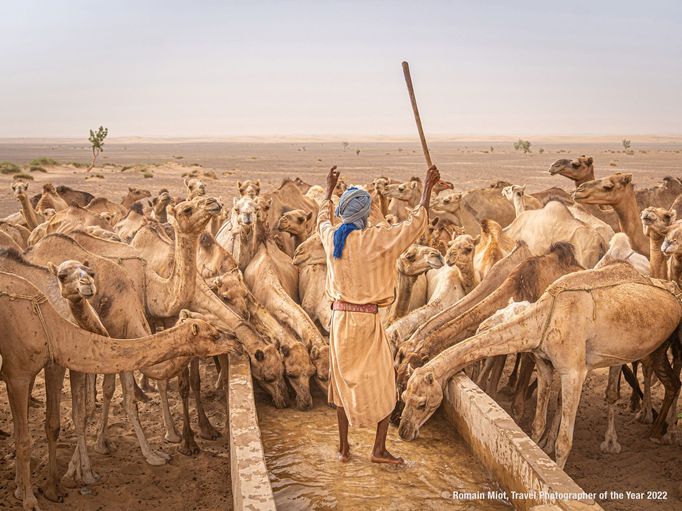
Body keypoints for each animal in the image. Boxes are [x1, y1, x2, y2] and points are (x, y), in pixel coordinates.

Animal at [0, 270, 235, 510]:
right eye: (214, 334)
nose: (234, 338)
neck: (50, 327)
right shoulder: (18, 374)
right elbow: (27, 437)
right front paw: (33, 498)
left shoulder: (46, 364)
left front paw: (24, 488)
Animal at [398, 264, 680, 468]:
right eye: (404, 396)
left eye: (421, 403)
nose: (403, 431)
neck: (545, 318)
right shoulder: (545, 365)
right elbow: (537, 424)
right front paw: (539, 451)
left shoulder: (574, 371)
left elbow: (565, 442)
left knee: (668, 382)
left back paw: (659, 433)